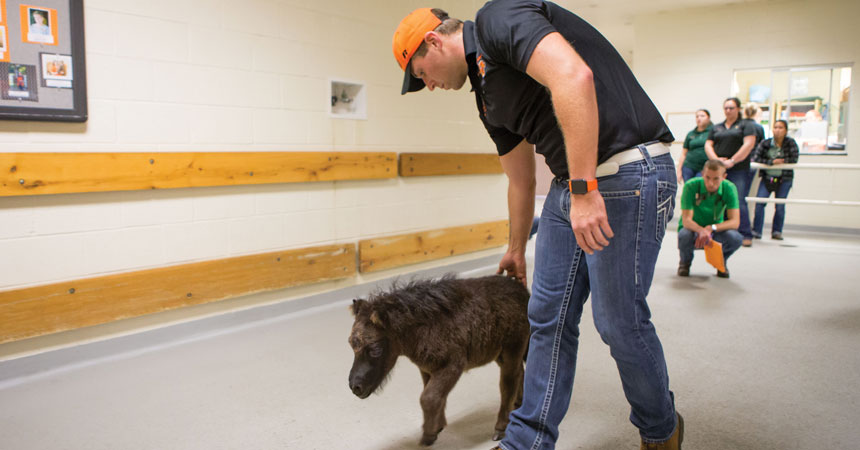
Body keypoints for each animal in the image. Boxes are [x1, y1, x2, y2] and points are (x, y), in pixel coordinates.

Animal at [350, 274, 532, 446]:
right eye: (351, 343)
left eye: (375, 348)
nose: (355, 386)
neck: (420, 330)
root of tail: (524, 293)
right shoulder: (427, 368)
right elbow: (436, 395)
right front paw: (438, 426)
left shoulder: (452, 366)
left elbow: (428, 398)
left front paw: (429, 435)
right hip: (500, 354)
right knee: (520, 373)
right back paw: (518, 403)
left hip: (512, 349)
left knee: (508, 383)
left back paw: (501, 427)